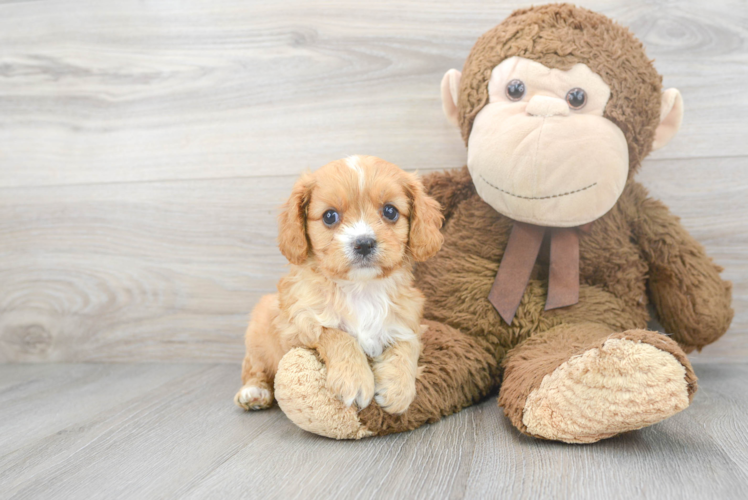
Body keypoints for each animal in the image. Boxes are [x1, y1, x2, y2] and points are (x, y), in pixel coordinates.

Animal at [237, 155, 442, 414]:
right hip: (259, 330)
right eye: (329, 216)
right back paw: (254, 392)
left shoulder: (408, 319)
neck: (361, 289)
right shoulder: (296, 325)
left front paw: (399, 389)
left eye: (390, 211)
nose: (364, 243)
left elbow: (408, 346)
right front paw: (354, 379)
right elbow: (336, 334)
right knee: (253, 367)